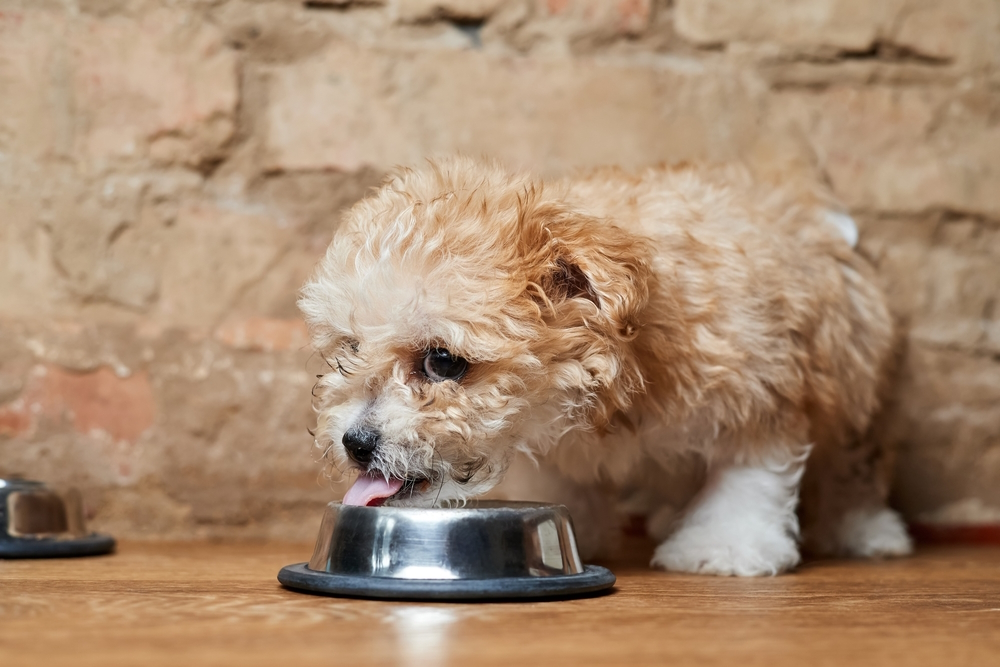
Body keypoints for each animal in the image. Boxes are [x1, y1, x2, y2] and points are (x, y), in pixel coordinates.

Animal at [298, 158, 916, 580]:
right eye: (350, 347)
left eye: (443, 361)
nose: (355, 442)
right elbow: (566, 482)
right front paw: (582, 537)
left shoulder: (761, 391)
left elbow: (748, 477)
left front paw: (724, 547)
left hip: (860, 385)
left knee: (854, 464)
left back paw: (868, 530)